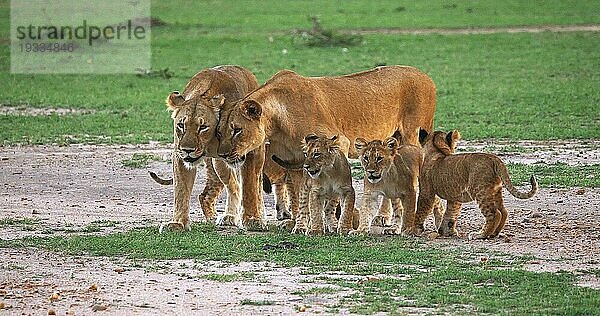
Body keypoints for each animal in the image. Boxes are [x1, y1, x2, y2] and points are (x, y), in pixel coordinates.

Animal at [163, 65, 268, 232]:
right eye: (181, 125)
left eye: (202, 127)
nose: (187, 149)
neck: (210, 141)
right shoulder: (179, 156)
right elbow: (181, 189)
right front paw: (178, 223)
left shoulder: (251, 152)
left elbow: (250, 187)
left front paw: (253, 220)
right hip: (218, 164)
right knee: (234, 185)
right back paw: (230, 216)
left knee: (256, 184)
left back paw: (260, 215)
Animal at [214, 66, 436, 230]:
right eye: (219, 131)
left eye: (237, 130)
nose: (223, 155)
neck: (276, 121)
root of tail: (425, 75)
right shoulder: (295, 160)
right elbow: (301, 195)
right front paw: (300, 224)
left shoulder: (340, 142)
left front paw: (334, 222)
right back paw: (382, 217)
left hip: (412, 136)